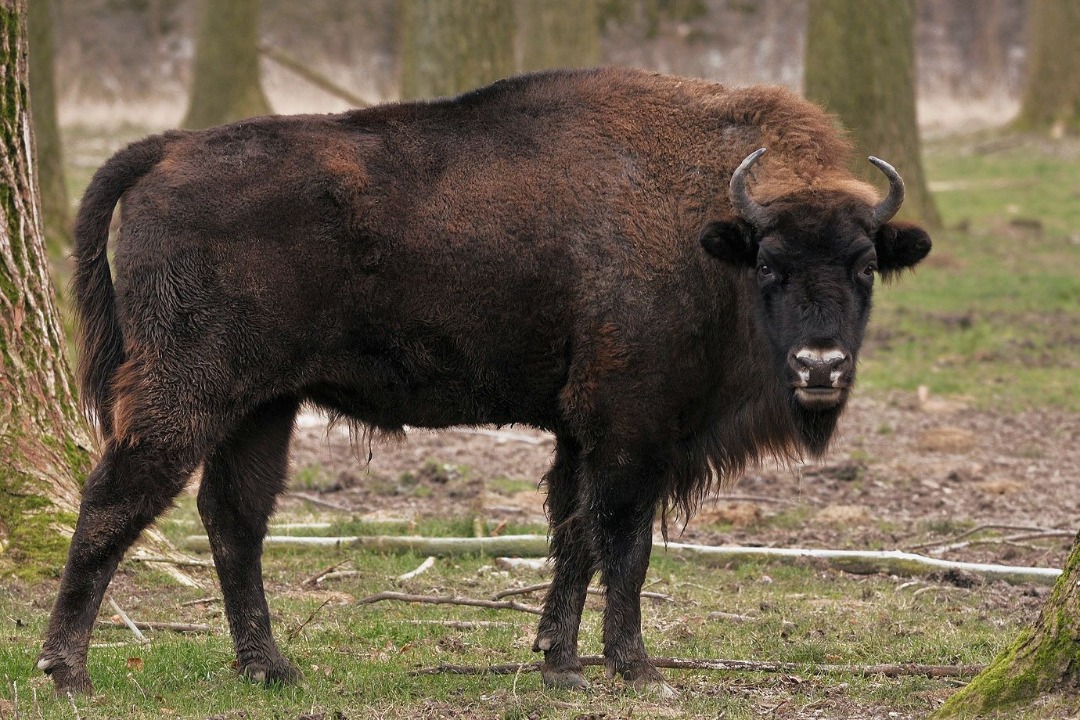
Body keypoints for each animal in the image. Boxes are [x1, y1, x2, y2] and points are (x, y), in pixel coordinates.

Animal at [38, 66, 933, 690]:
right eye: (771, 266)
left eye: (864, 267)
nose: (820, 365)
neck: (711, 232)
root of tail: (171, 146)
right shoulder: (629, 427)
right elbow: (626, 543)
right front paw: (635, 666)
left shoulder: (580, 432)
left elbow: (575, 538)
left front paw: (559, 663)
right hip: (188, 389)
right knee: (117, 497)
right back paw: (67, 669)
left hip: (265, 405)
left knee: (233, 519)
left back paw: (270, 667)